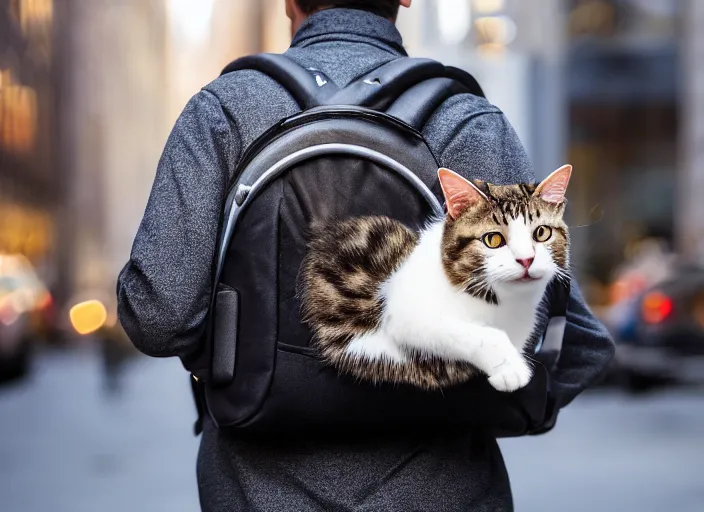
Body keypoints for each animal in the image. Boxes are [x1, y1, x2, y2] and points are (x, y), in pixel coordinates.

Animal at [298, 166, 572, 390]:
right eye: (493, 239)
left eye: (541, 233)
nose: (526, 259)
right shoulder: (405, 314)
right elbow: (473, 334)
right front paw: (509, 368)